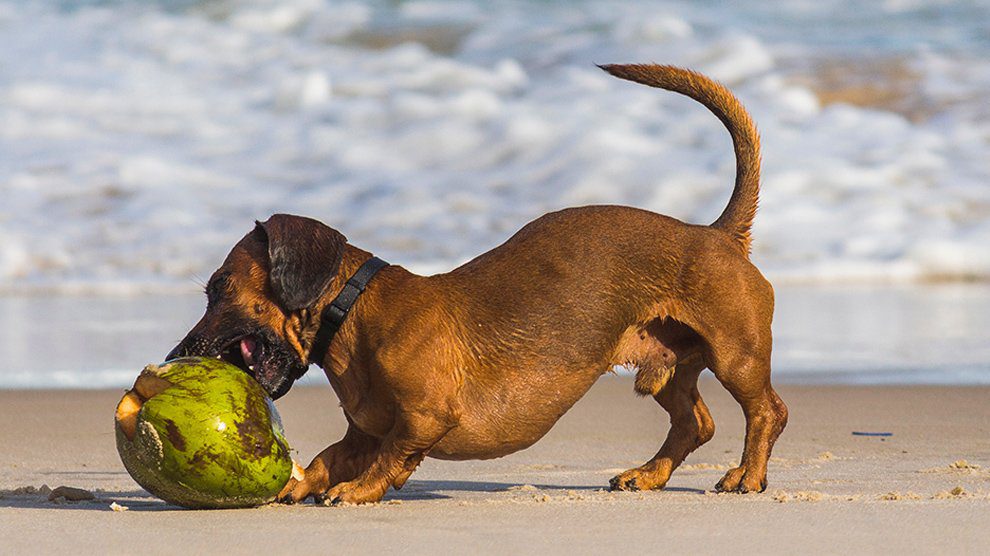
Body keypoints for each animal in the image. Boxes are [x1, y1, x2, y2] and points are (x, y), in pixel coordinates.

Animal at [170, 64, 792, 504]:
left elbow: (392, 457)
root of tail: (716, 234)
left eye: (220, 287)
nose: (178, 356)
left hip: (736, 355)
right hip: (667, 370)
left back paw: (747, 475)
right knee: (695, 423)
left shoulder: (422, 420)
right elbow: (329, 455)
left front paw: (359, 490)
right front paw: (301, 483)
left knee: (768, 411)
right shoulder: (362, 432)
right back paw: (649, 474)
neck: (357, 311)